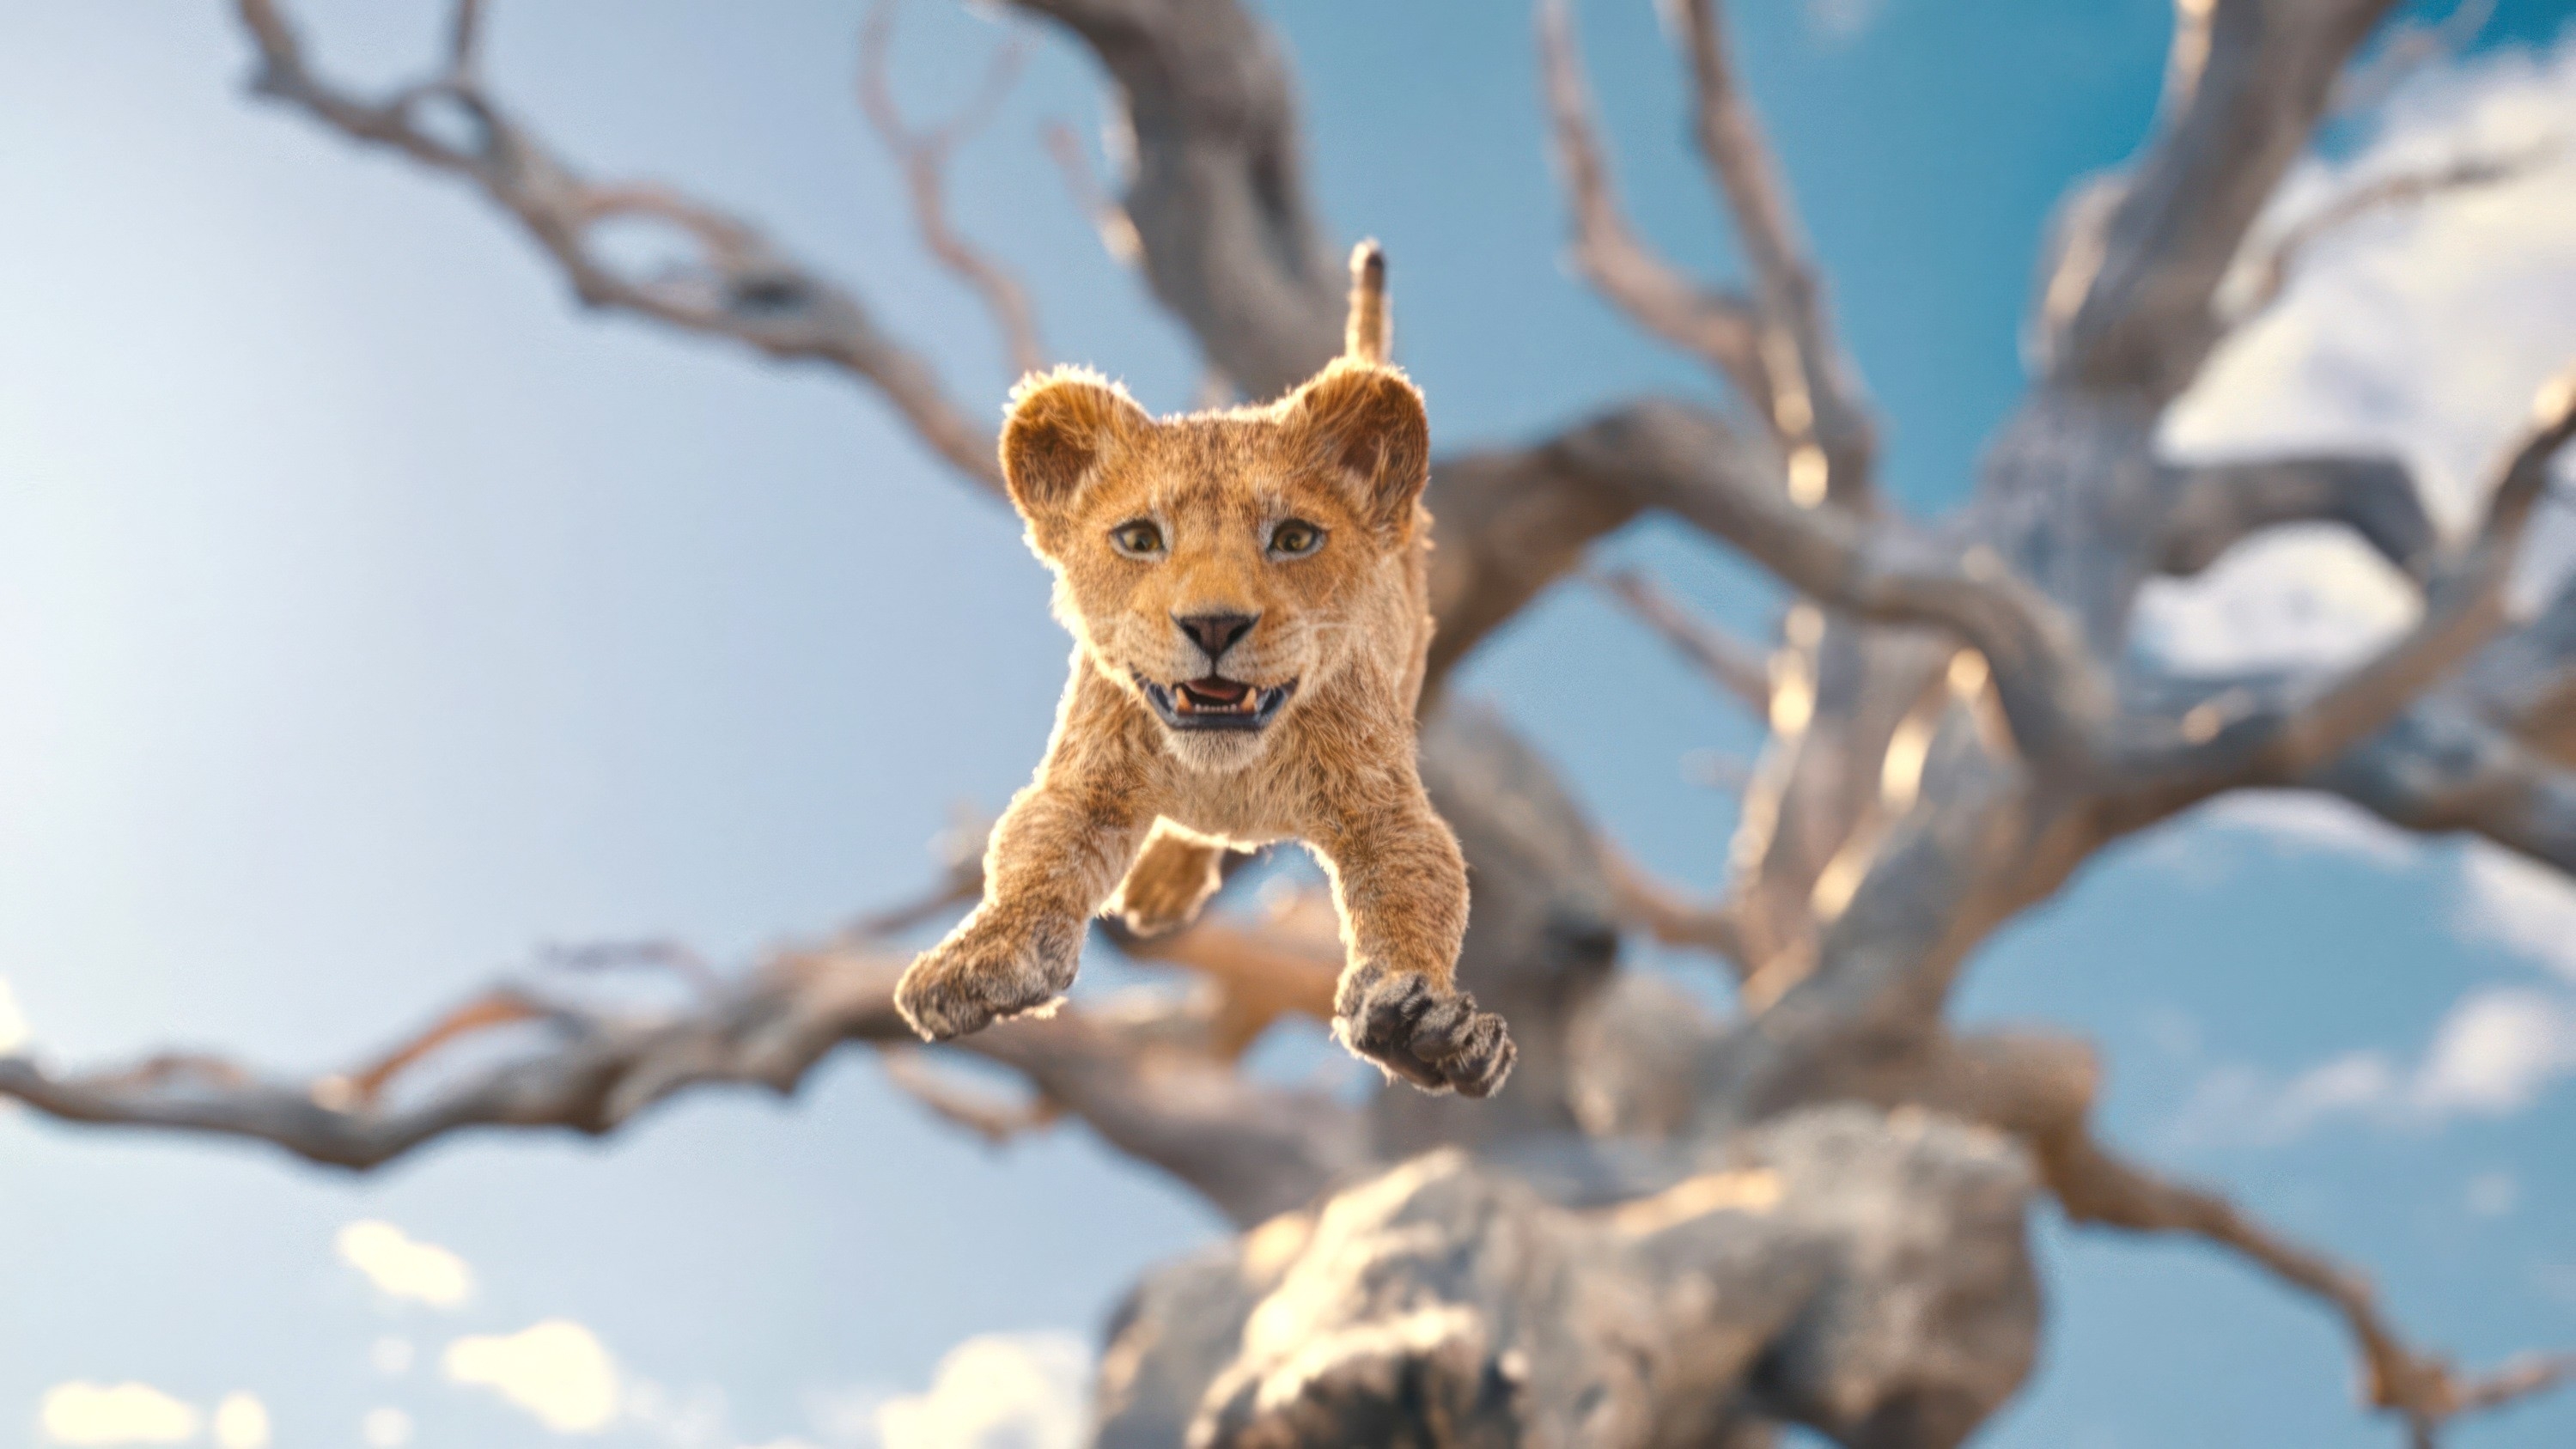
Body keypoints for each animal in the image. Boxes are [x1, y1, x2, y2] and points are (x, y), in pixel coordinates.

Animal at [892, 243, 1515, 1098]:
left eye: (1293, 538)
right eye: (1138, 539)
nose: (1214, 624)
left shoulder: (1382, 804)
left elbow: (1417, 890)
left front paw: (1422, 1025)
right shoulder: (1086, 776)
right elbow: (1033, 857)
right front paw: (978, 958)